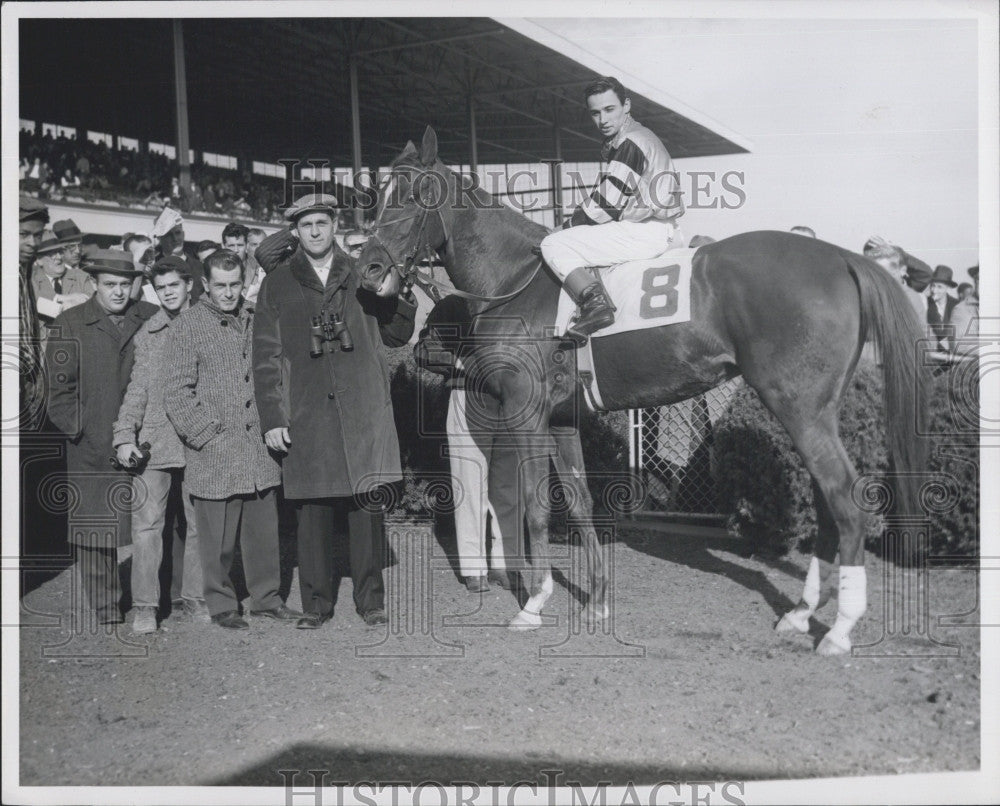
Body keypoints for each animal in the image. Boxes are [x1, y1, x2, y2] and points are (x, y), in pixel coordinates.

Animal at [356, 126, 924, 656]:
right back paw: (802, 614)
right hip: (817, 411)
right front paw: (598, 600)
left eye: (411, 193)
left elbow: (537, 504)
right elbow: (580, 502)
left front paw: (534, 604)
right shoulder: (561, 418)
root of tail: (841, 257)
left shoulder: (525, 409)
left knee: (846, 500)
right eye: (378, 192)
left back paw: (839, 630)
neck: (516, 279)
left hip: (798, 406)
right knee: (830, 502)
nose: (370, 269)